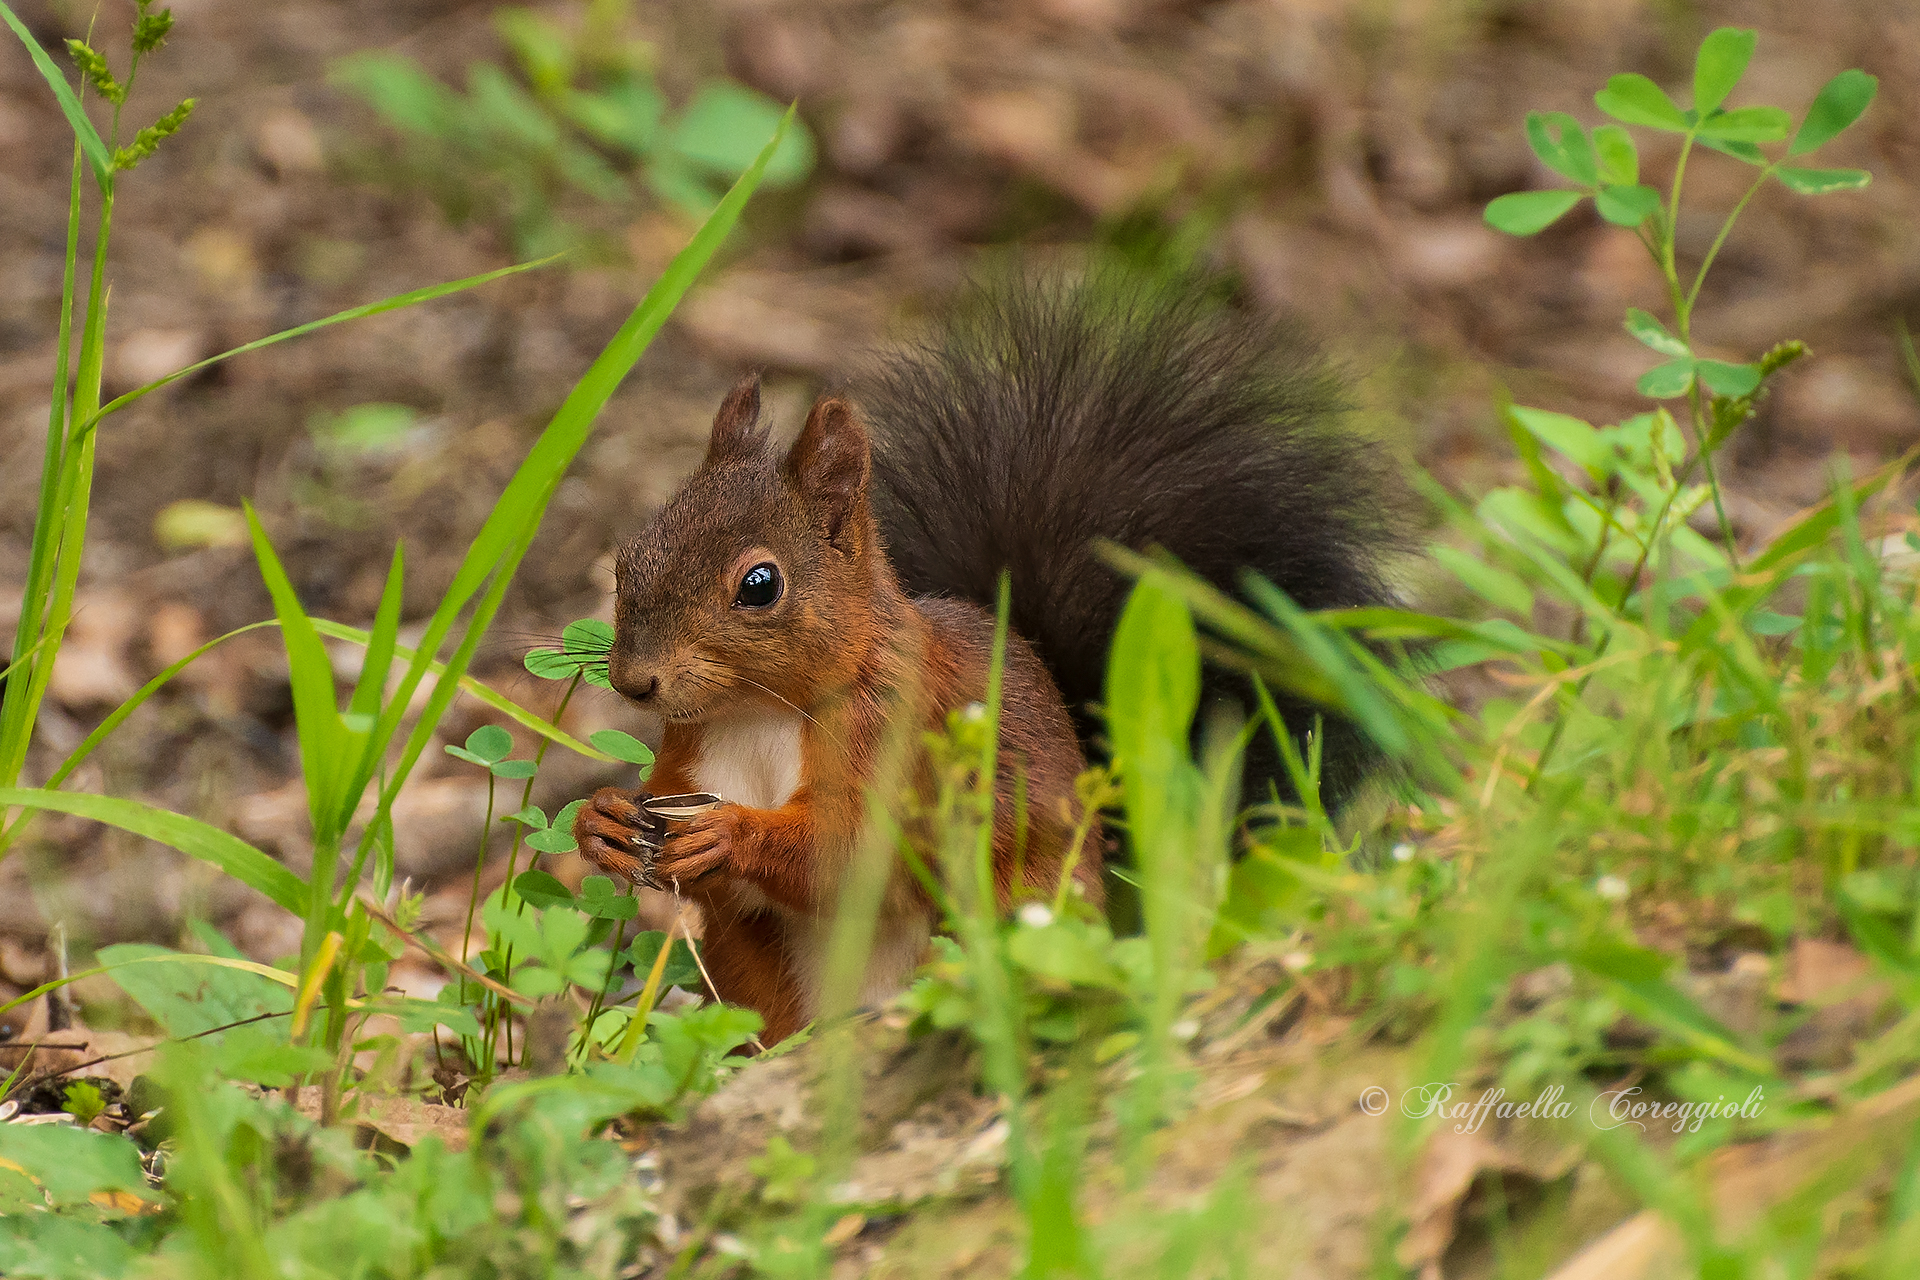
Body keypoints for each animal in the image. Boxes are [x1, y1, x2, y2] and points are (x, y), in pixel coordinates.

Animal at [572, 271, 1403, 1044]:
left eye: (760, 584)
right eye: (630, 557)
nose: (633, 683)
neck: (756, 714)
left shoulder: (900, 737)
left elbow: (856, 851)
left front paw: (729, 834)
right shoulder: (691, 756)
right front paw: (601, 821)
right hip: (753, 973)